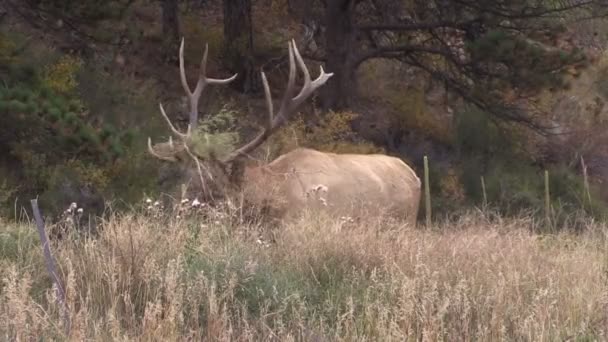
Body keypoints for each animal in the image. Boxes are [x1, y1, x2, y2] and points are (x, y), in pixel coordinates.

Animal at [148, 37, 422, 226]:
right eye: (184, 171)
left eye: (210, 181)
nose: (176, 206)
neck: (271, 191)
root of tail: (415, 177)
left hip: (404, 221)